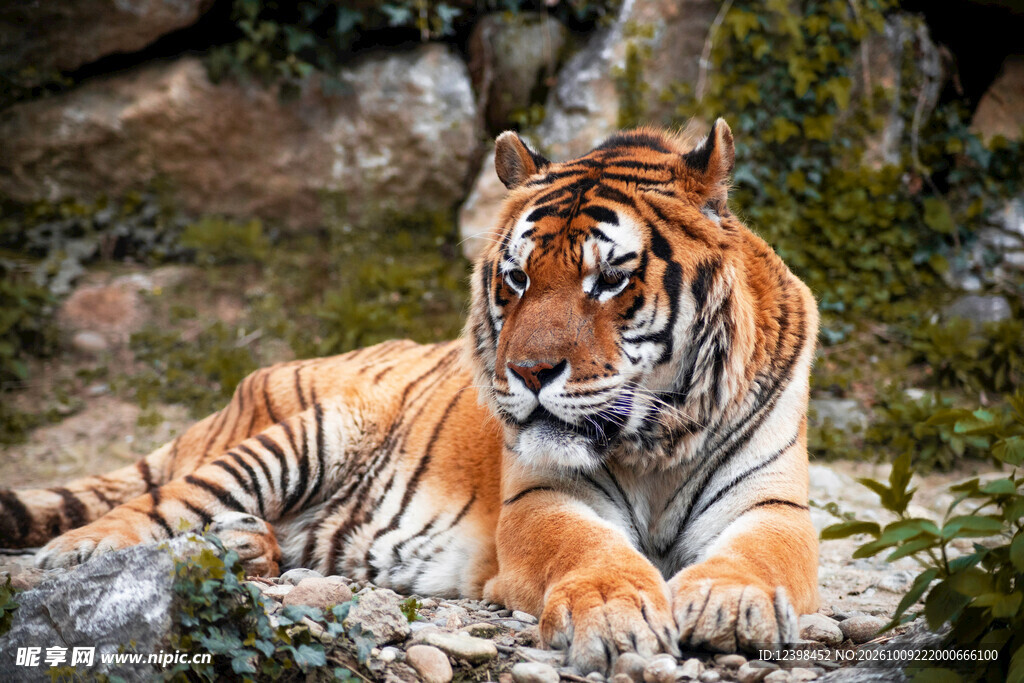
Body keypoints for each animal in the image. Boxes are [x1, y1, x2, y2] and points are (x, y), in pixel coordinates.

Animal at [0, 121, 820, 673]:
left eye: (609, 279)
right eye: (517, 277)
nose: (529, 373)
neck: (656, 441)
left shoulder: (772, 503)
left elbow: (763, 554)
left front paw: (730, 603)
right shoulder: (545, 499)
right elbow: (588, 549)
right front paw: (616, 614)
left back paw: (239, 545)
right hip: (308, 433)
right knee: (156, 503)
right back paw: (87, 552)